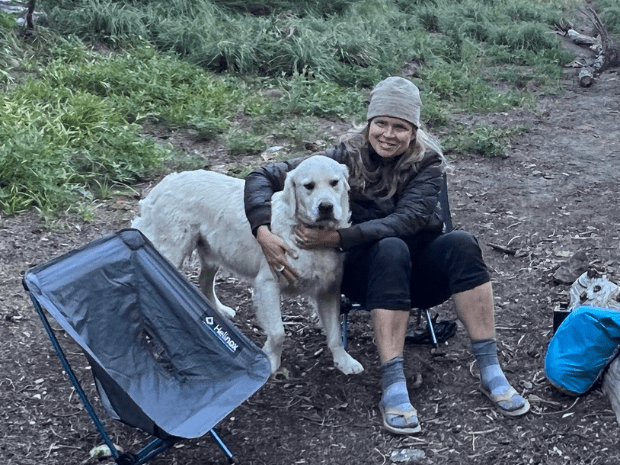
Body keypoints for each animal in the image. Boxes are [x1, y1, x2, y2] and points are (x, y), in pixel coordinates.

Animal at [131, 154, 364, 376]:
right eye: (309, 186)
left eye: (334, 183)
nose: (326, 207)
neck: (305, 231)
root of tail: (164, 182)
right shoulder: (268, 283)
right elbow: (278, 332)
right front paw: (270, 362)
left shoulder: (328, 289)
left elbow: (334, 333)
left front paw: (344, 361)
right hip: (169, 251)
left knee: (203, 281)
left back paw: (218, 310)